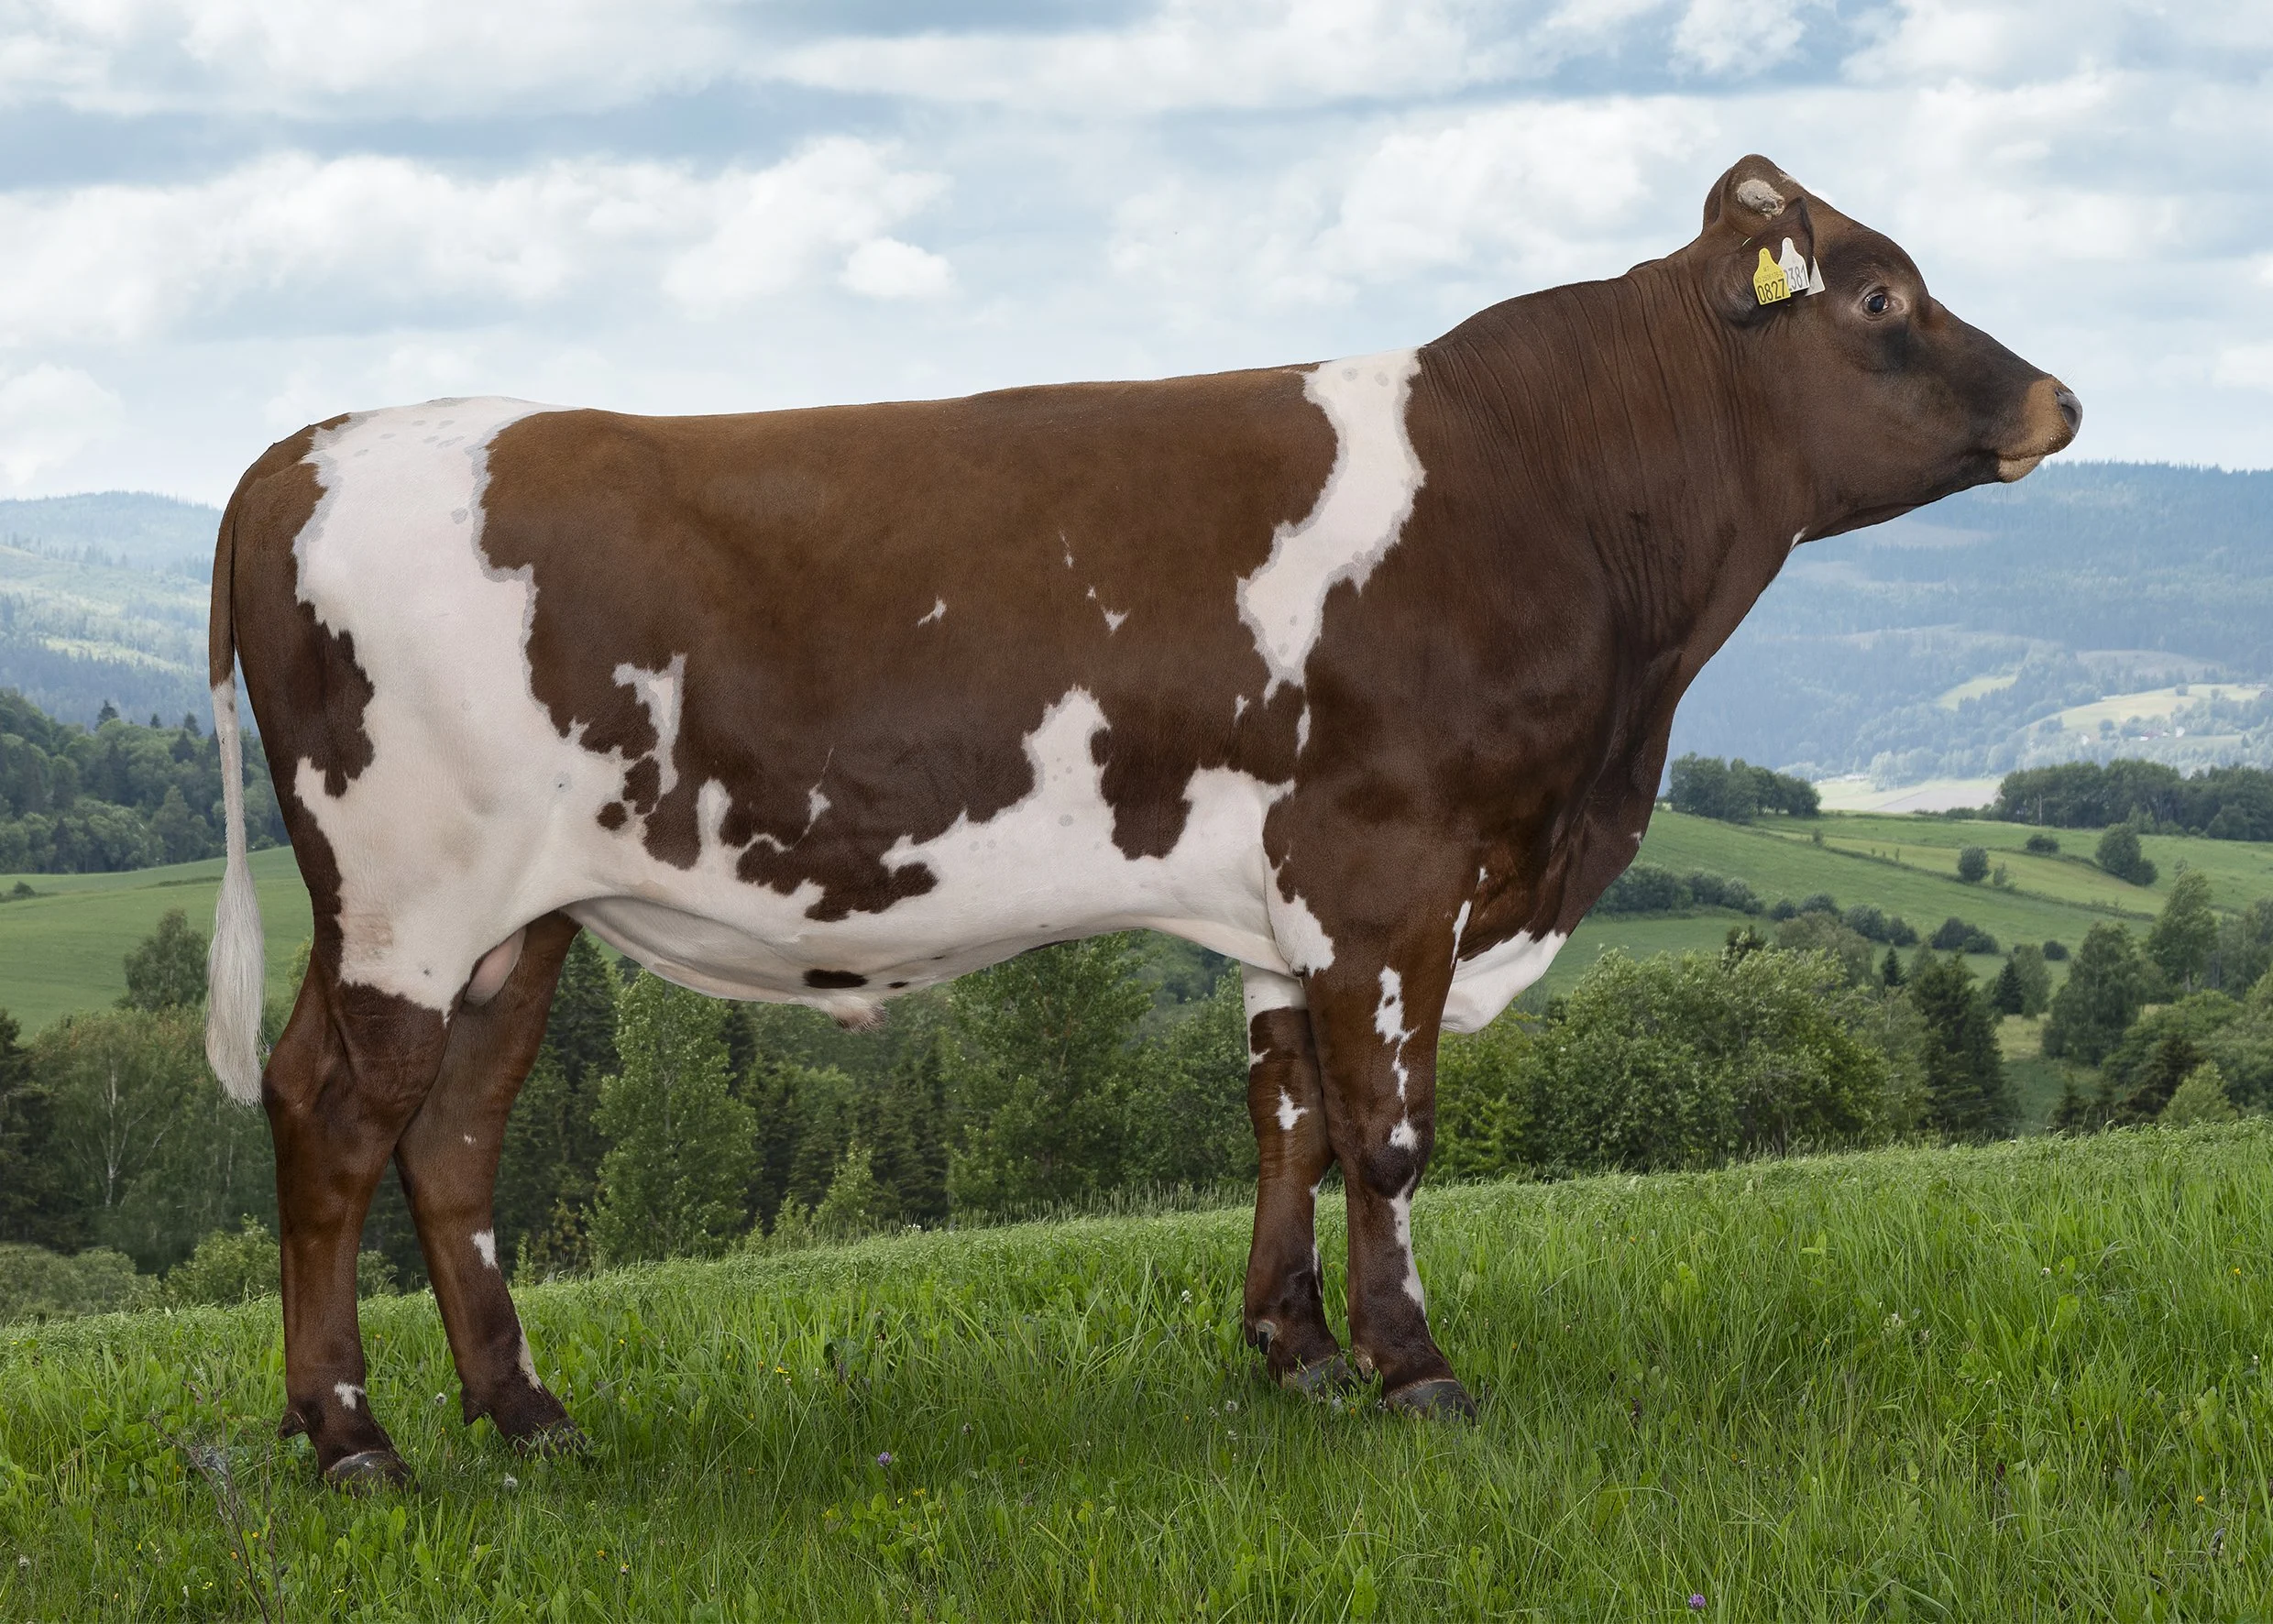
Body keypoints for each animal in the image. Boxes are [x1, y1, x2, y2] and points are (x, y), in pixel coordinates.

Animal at [204, 155, 2077, 1485]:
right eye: (1884, 293)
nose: (2060, 398)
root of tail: (305, 448)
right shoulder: (1391, 868)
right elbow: (1390, 1132)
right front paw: (1413, 1368)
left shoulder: (1288, 896)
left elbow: (1290, 1119)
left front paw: (1295, 1349)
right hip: (404, 898)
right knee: (336, 1120)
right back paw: (352, 1437)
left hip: (513, 925)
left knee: (449, 1140)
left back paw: (527, 1418)